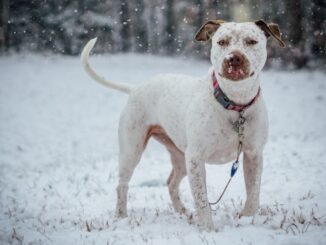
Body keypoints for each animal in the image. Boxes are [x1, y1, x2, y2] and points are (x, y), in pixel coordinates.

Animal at [81, 20, 286, 231]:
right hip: (132, 150)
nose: (234, 58)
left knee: (171, 182)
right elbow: (202, 199)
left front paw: (247, 219)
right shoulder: (196, 158)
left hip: (180, 157)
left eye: (251, 41)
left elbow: (254, 191)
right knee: (122, 184)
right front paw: (207, 229)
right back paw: (121, 216)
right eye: (222, 42)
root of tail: (136, 88)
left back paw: (183, 212)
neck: (236, 104)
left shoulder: (254, 154)